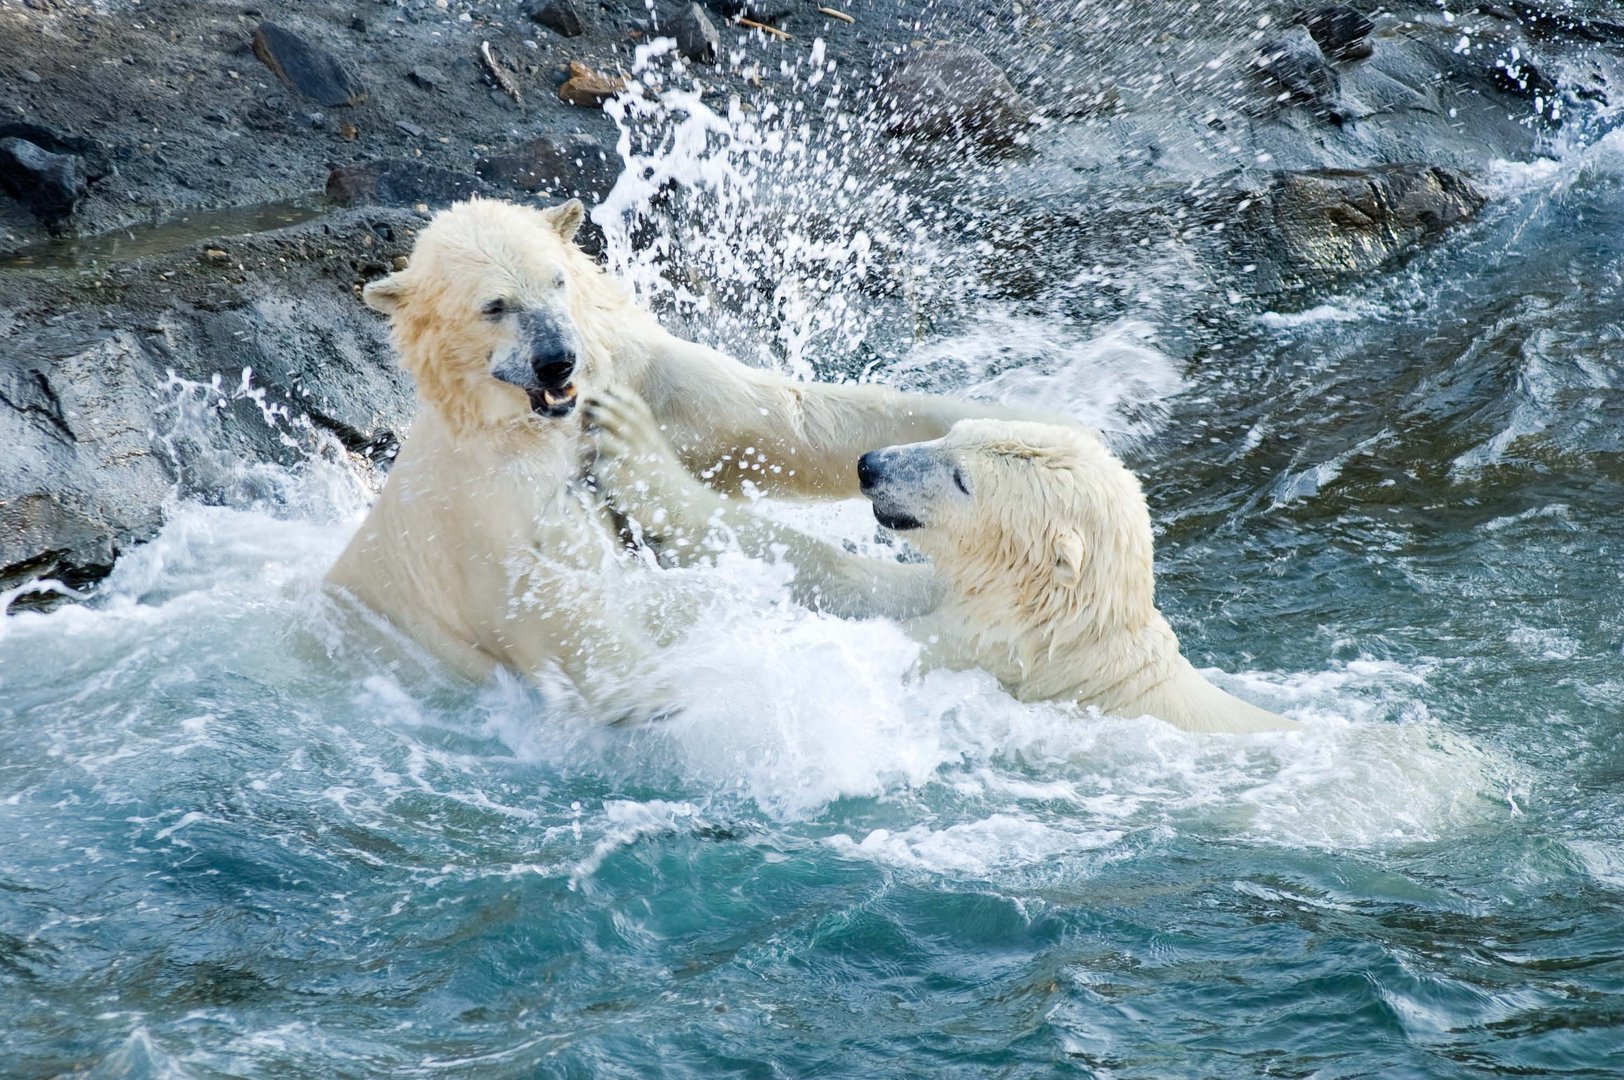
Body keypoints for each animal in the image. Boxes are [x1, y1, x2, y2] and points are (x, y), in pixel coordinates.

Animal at [324, 198, 1026, 714]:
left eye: (557, 279)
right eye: (494, 305)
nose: (558, 360)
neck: (536, 425)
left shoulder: (634, 371)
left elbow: (781, 420)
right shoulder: (491, 514)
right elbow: (575, 607)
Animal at [584, 388, 1292, 734]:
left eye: (960, 479)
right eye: (950, 434)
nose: (869, 465)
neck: (1057, 632)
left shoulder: (975, 655)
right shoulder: (954, 602)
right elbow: (837, 576)